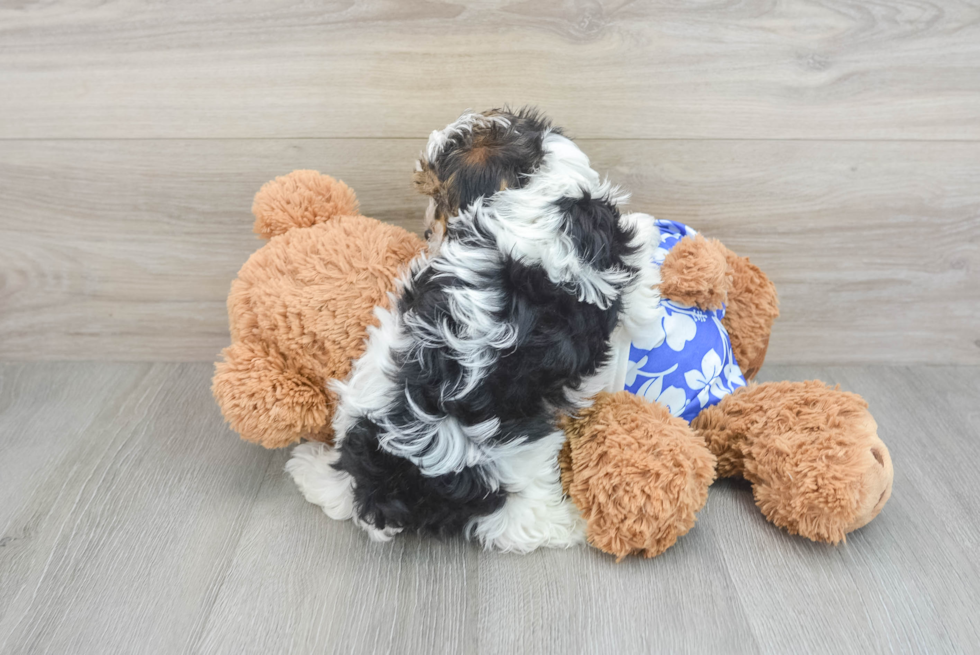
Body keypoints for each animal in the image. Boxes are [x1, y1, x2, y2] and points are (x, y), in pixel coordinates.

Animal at [288, 110, 664, 552]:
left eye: (439, 197)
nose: (428, 233)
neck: (534, 186)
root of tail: (390, 479)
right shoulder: (616, 261)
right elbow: (640, 274)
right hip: (513, 459)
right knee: (519, 522)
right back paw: (569, 523)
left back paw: (312, 469)